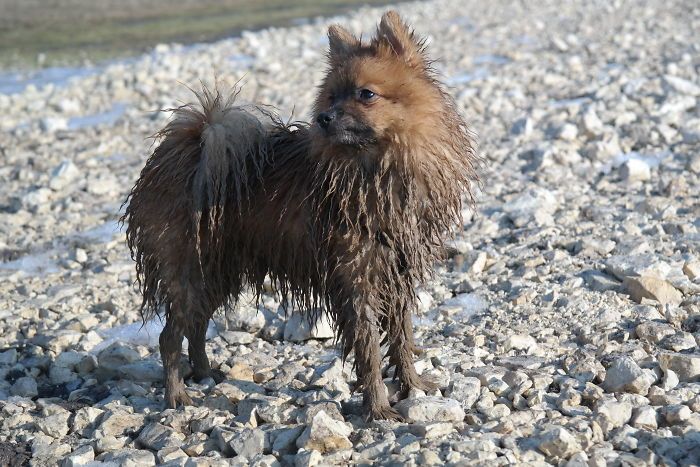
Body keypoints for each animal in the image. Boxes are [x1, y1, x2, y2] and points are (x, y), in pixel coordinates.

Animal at [123, 11, 478, 420]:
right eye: (331, 96)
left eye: (365, 94)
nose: (323, 117)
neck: (376, 169)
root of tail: (187, 145)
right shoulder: (357, 280)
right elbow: (370, 351)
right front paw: (377, 408)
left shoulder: (396, 275)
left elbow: (402, 339)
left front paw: (412, 386)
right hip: (189, 273)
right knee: (170, 336)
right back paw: (177, 395)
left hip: (217, 273)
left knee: (196, 326)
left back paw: (205, 373)